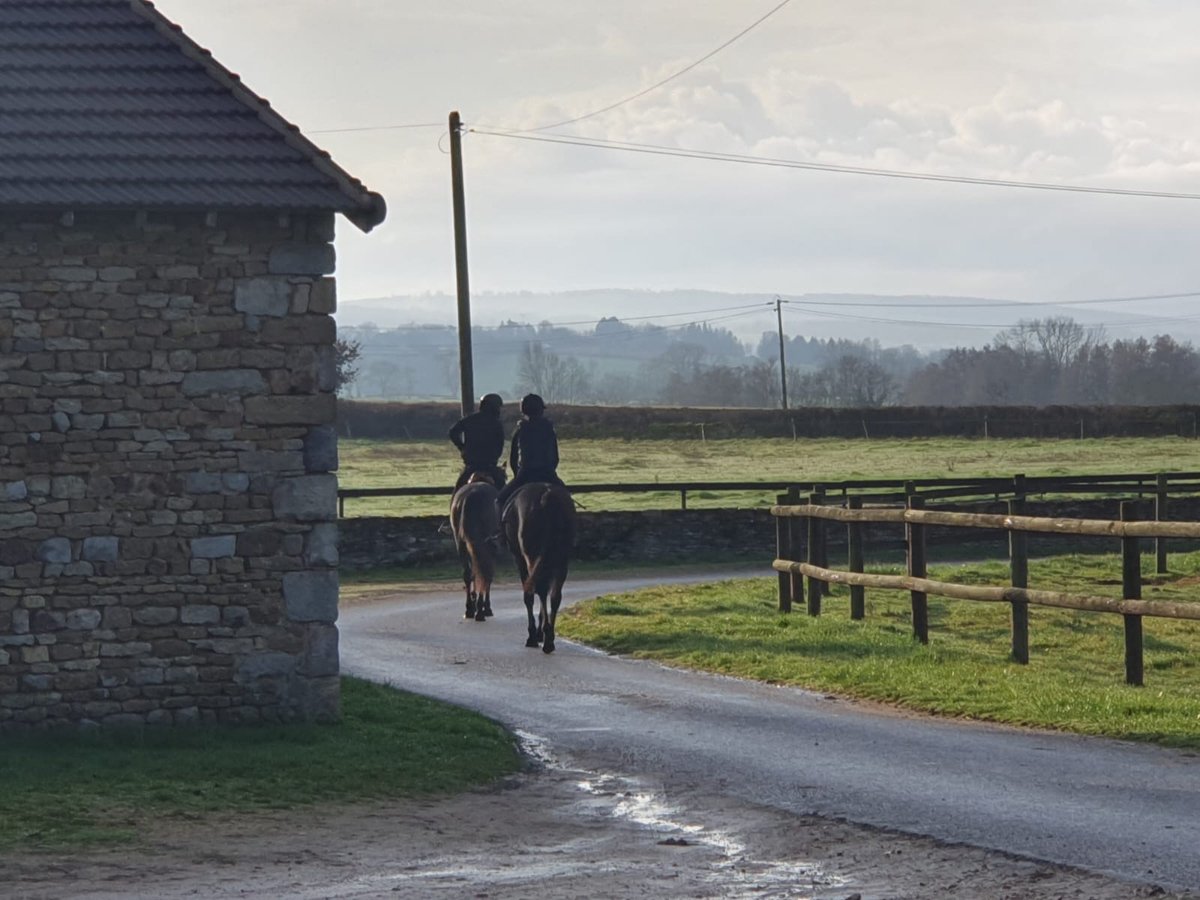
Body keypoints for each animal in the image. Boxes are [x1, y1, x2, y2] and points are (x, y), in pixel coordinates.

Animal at [449, 474, 500, 622]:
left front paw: (475, 602)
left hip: (461, 544)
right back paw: (480, 612)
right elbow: (488, 574)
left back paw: (470, 609)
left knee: (468, 574)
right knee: (482, 572)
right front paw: (486, 607)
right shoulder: (492, 549)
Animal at [501, 482, 575, 653]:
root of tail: (546, 496)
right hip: (561, 561)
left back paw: (542, 638)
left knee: (538, 591)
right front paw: (541, 632)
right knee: (554, 596)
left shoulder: (520, 560)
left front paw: (534, 634)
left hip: (531, 558)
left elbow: (529, 596)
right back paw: (549, 637)